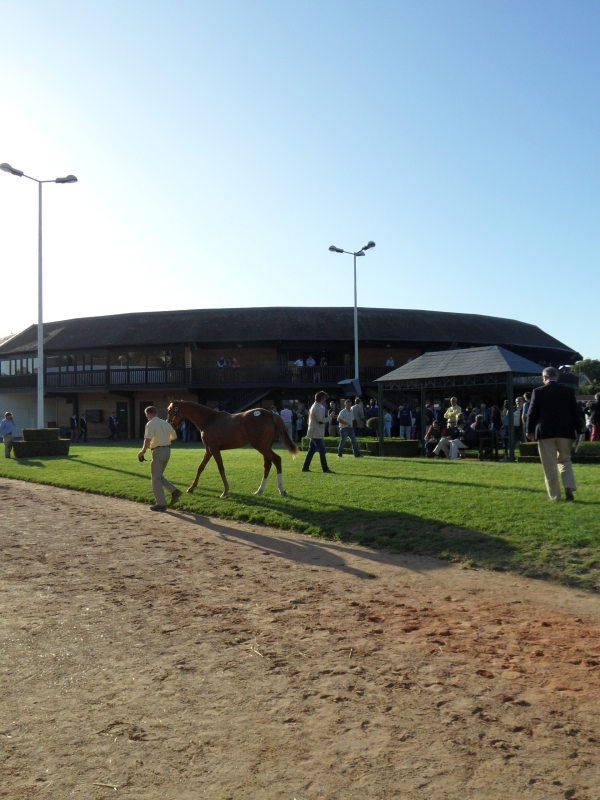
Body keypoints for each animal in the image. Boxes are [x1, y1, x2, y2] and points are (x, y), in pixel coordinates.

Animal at [166, 400, 298, 498]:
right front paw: (191, 487)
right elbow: (200, 467)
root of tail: (271, 414)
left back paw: (281, 490)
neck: (208, 420)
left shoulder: (214, 449)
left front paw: (225, 491)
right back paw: (259, 490)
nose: (169, 423)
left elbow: (220, 468)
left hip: (261, 446)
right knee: (267, 465)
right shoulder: (208, 449)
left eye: (169, 410)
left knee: (277, 460)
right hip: (265, 447)